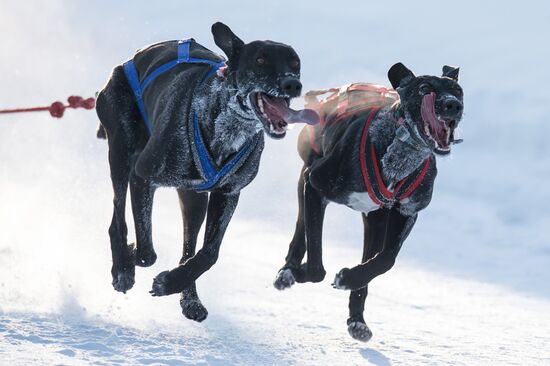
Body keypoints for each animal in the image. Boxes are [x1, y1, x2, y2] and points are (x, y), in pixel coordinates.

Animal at [274, 62, 464, 340]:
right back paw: (288, 270)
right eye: (424, 88)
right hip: (306, 180)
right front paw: (300, 271)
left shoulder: (406, 213)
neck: (399, 155)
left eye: (458, 91)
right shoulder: (315, 186)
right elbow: (317, 263)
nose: (453, 105)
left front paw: (349, 278)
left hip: (374, 220)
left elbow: (385, 260)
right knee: (301, 228)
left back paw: (357, 320)